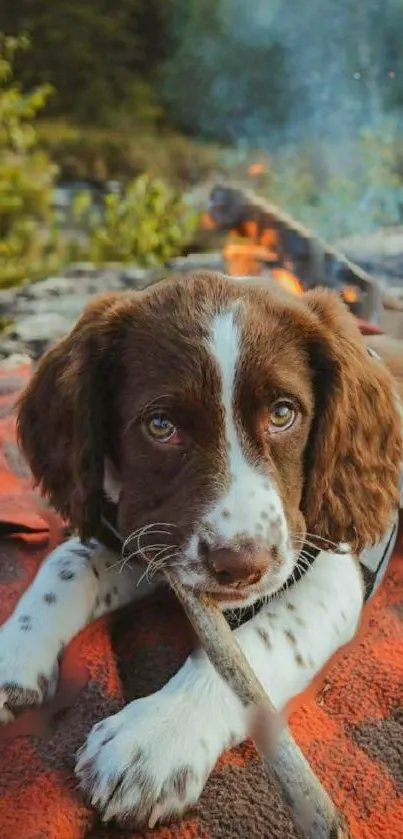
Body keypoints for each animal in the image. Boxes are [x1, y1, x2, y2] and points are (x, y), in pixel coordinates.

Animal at [0, 272, 400, 832]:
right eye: (160, 425)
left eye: (283, 413)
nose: (242, 565)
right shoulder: (143, 526)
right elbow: (67, 565)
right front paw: (14, 653)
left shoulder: (334, 570)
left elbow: (258, 644)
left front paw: (156, 738)